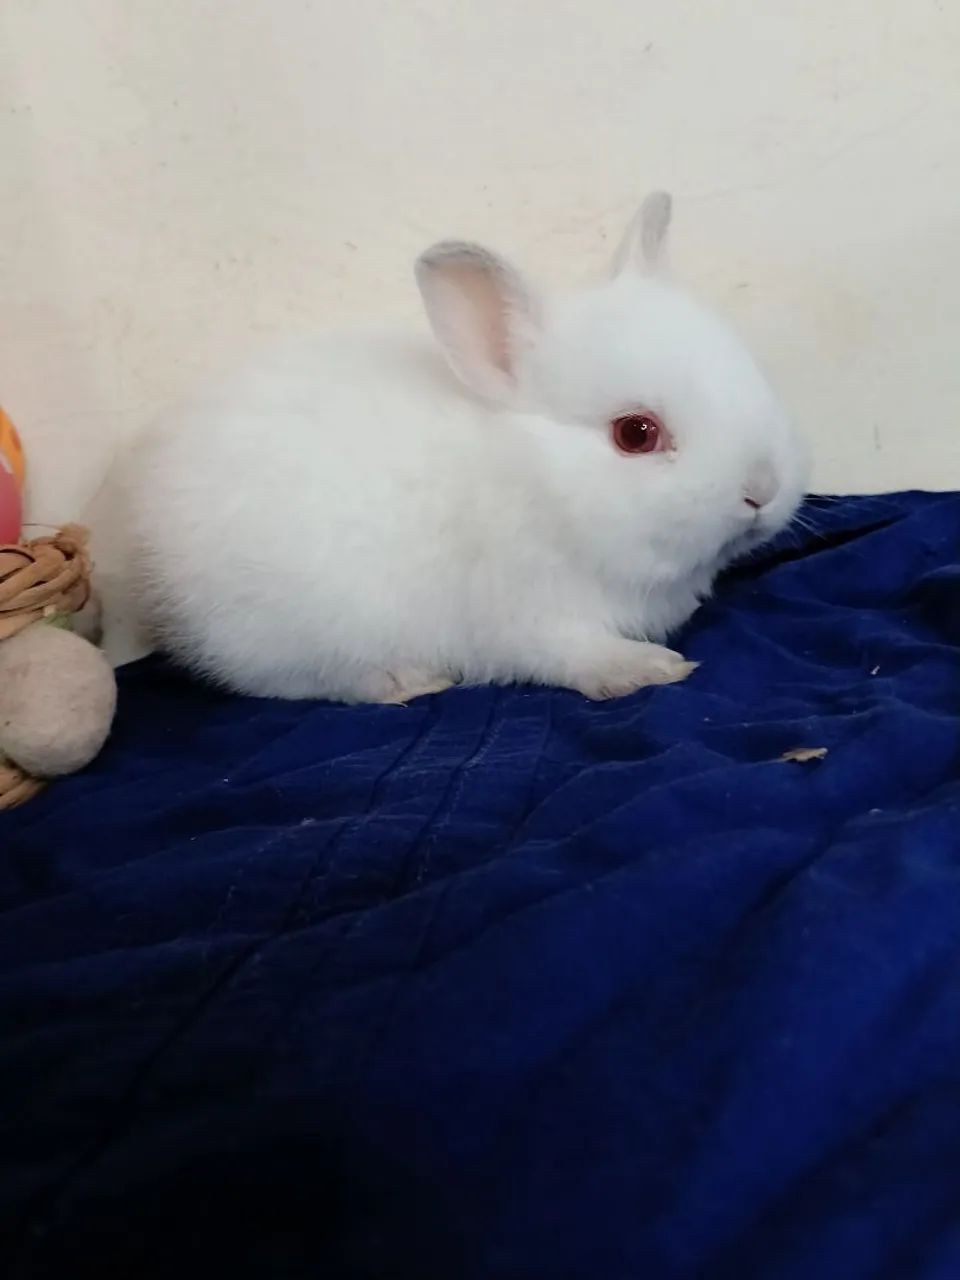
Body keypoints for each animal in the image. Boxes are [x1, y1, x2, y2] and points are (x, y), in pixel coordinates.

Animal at [128, 192, 807, 704]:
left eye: (752, 372)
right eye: (635, 434)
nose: (762, 490)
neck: (538, 482)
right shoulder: (533, 617)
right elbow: (577, 656)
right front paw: (650, 669)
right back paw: (405, 680)